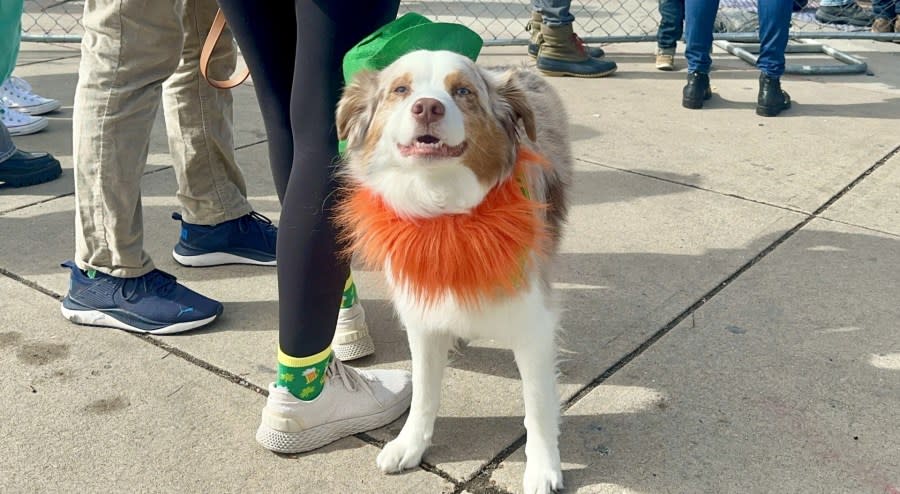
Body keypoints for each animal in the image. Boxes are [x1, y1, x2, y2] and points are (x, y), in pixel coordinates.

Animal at [334, 49, 572, 494]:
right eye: (401, 89)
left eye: (463, 91)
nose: (427, 107)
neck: (445, 215)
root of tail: (522, 67)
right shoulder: (422, 317)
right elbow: (424, 392)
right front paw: (410, 444)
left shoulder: (532, 321)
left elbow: (537, 404)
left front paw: (542, 467)